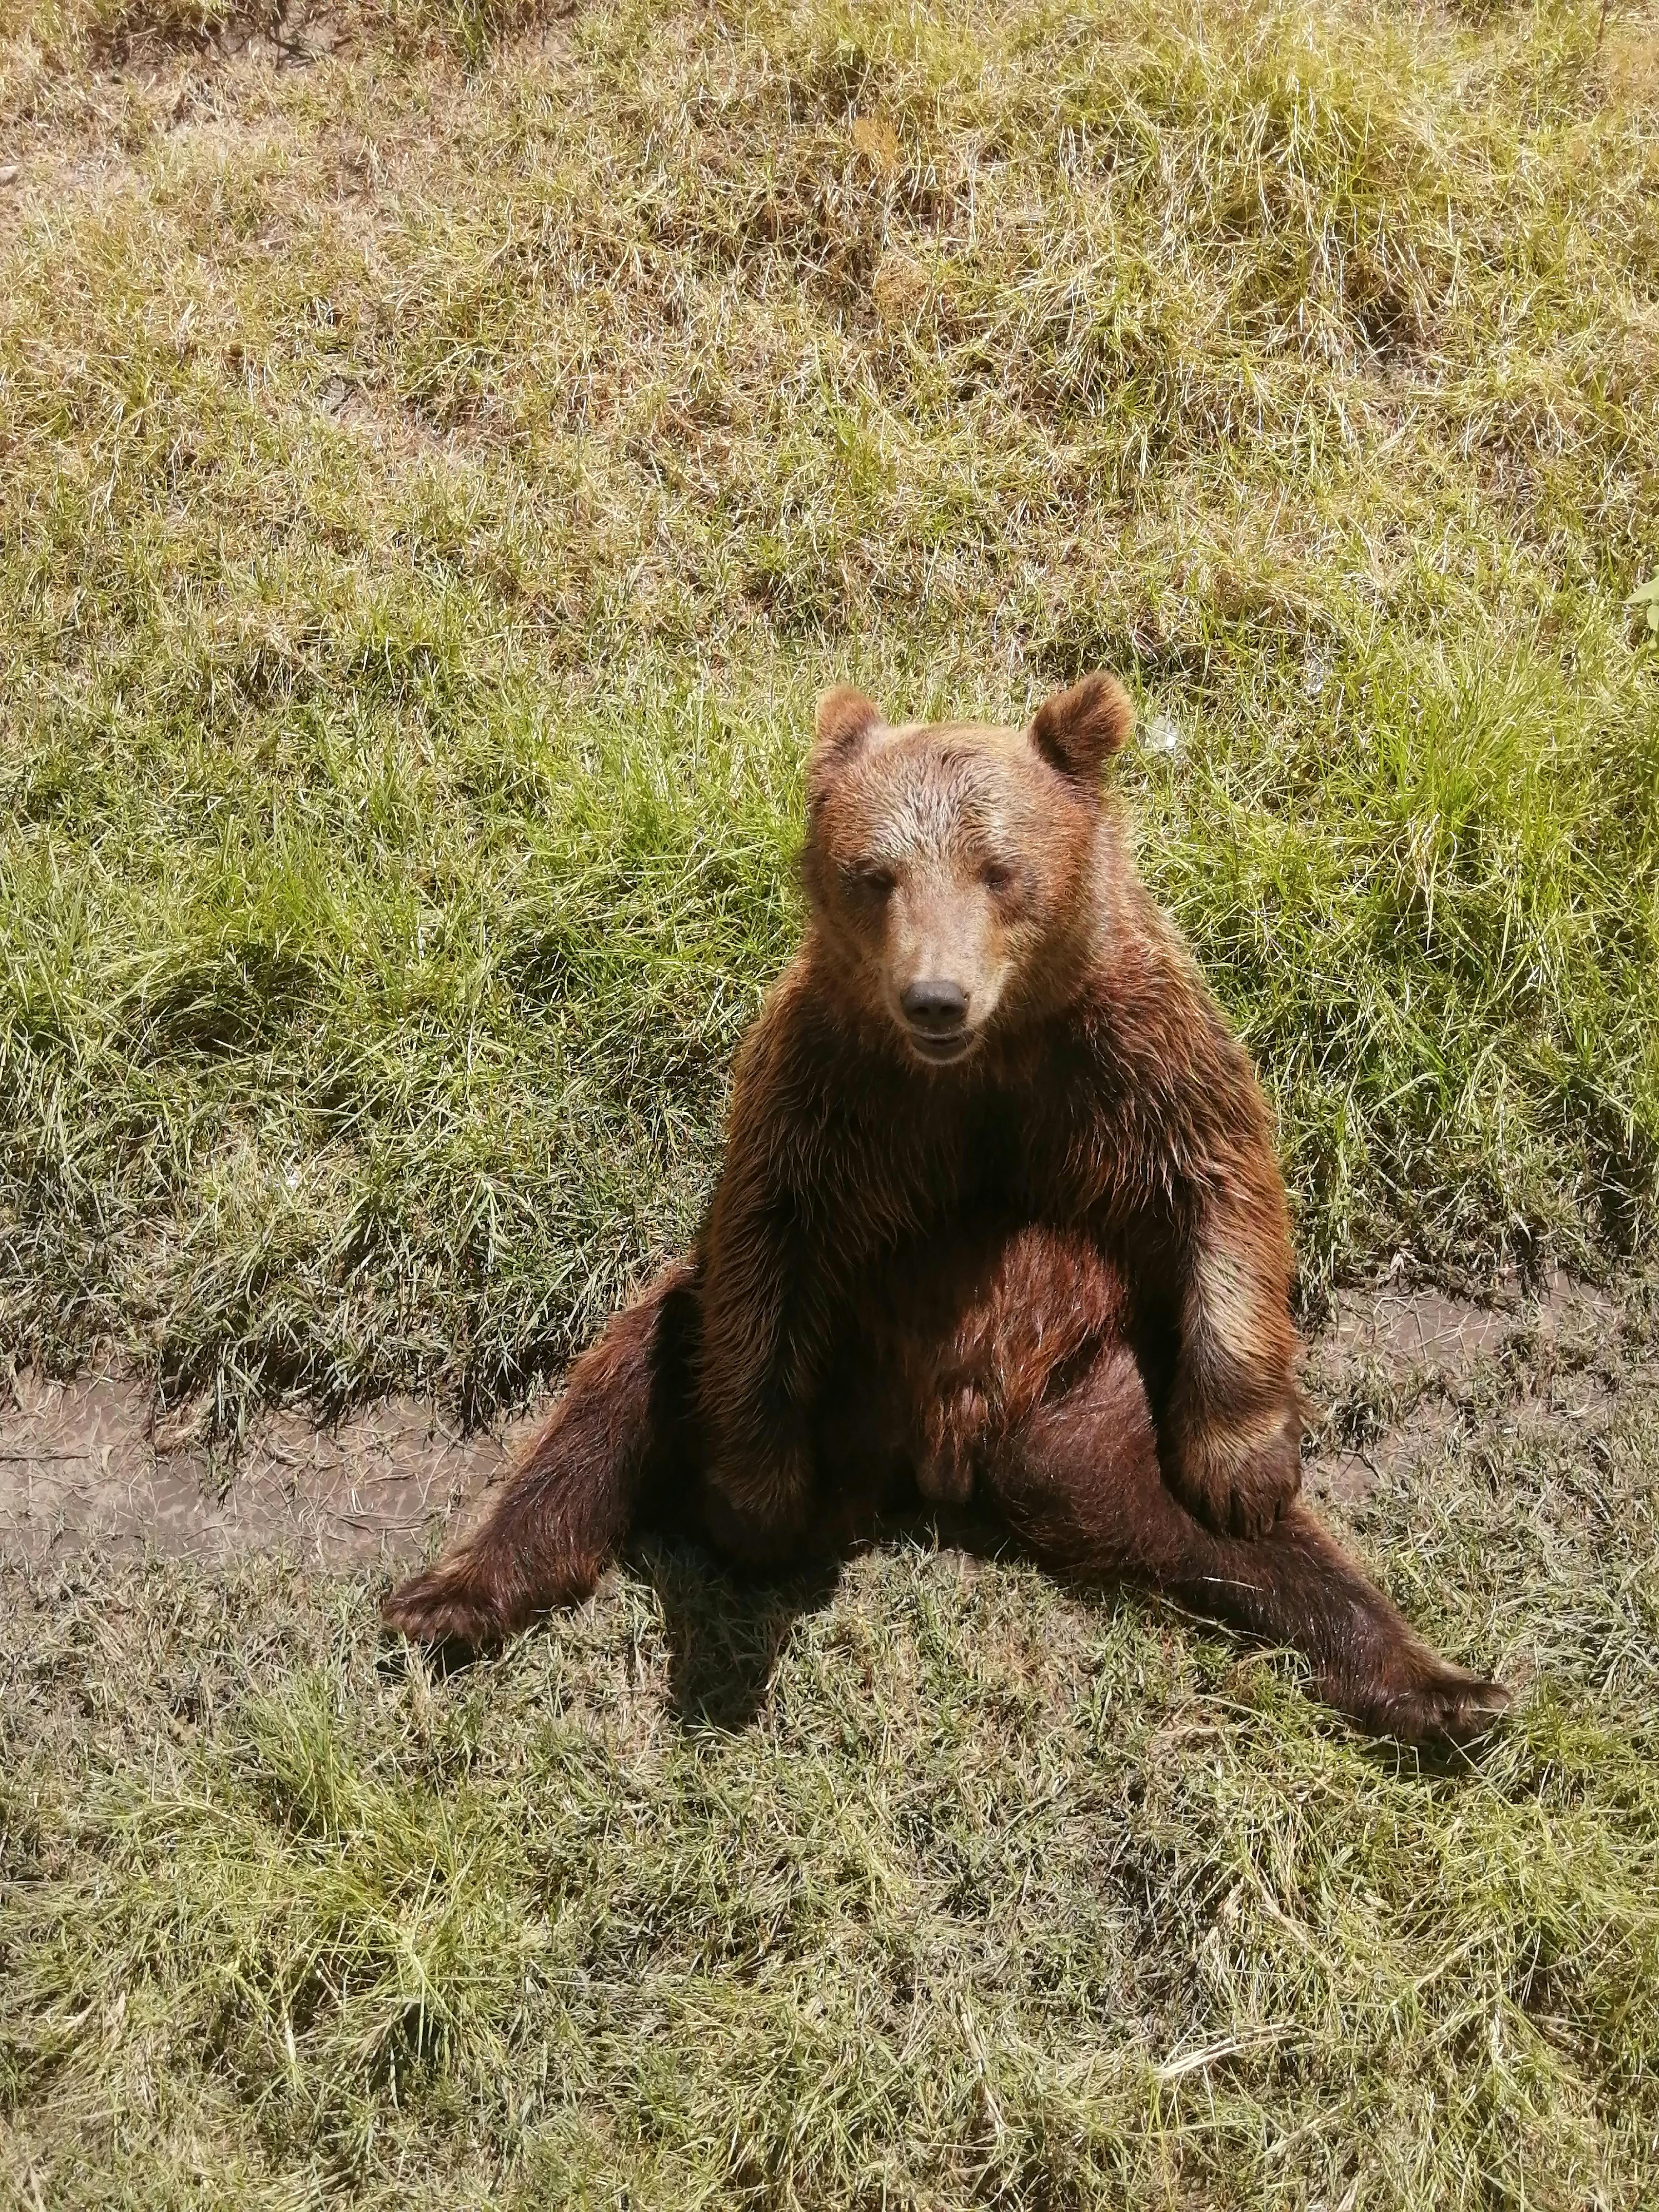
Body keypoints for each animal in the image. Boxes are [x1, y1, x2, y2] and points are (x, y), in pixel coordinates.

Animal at [383, 674, 1509, 1746]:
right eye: (873, 873)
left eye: (997, 868)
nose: (935, 996)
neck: (987, 1055)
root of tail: (939, 1453)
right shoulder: (835, 1086)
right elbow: (767, 1228)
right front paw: (751, 1497)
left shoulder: (1128, 1049)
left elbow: (1219, 1184)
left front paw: (1247, 1465)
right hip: (833, 1361)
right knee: (615, 1392)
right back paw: (453, 1593)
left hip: (1104, 1401)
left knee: (1251, 1552)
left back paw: (1440, 1683)